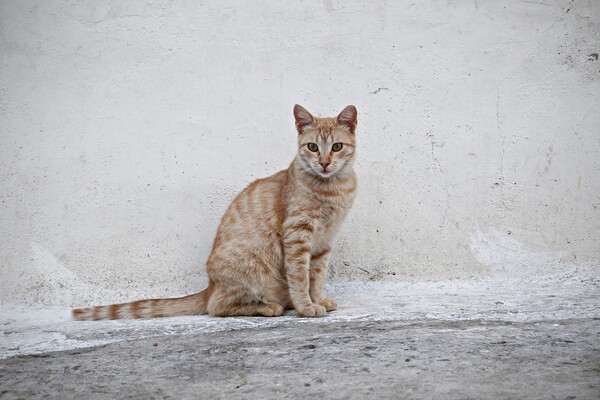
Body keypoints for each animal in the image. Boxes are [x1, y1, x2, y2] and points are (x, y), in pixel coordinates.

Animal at [71, 104, 356, 320]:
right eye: (312, 147)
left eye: (337, 147)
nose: (324, 163)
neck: (334, 188)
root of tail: (209, 286)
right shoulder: (297, 235)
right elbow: (300, 277)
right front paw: (306, 306)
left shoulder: (324, 241)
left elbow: (316, 276)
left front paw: (318, 299)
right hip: (251, 267)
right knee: (217, 307)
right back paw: (268, 307)